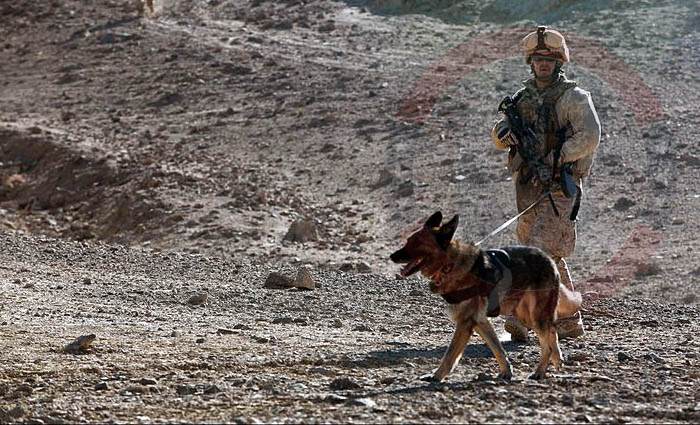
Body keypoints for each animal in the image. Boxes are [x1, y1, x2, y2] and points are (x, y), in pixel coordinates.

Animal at [392, 210, 584, 380]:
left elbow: (450, 354)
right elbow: (497, 348)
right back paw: (556, 359)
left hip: (535, 315)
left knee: (547, 341)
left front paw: (436, 376)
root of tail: (549, 259)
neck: (449, 264)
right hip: (525, 314)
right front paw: (506, 371)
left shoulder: (466, 321)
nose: (392, 256)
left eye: (417, 243)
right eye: (408, 241)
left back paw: (540, 371)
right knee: (551, 332)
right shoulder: (480, 321)